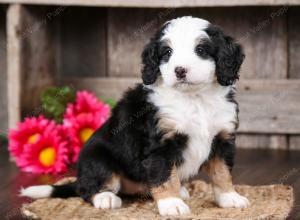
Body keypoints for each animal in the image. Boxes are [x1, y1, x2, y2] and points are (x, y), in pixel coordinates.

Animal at [22, 16, 250, 216]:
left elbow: (222, 172)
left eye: (201, 50)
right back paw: (105, 198)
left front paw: (229, 197)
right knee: (87, 189)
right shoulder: (159, 146)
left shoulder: (222, 138)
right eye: (167, 52)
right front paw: (171, 204)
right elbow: (165, 175)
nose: (180, 70)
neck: (195, 99)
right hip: (99, 158)